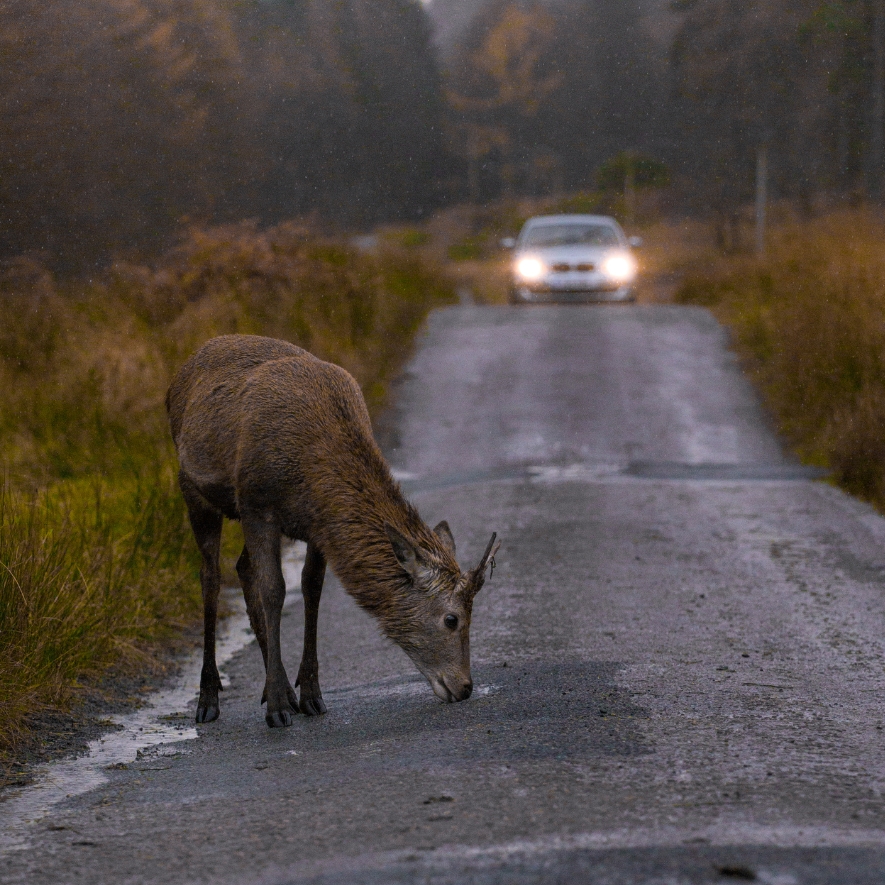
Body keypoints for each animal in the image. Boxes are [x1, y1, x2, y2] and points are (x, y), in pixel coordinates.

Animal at [166, 334, 498, 728]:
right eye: (451, 619)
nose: (464, 687)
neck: (311, 472)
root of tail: (181, 372)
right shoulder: (256, 504)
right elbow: (274, 590)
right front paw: (277, 706)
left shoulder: (318, 523)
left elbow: (311, 588)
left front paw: (309, 693)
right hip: (193, 489)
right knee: (211, 576)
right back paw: (209, 698)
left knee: (243, 567)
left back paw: (278, 688)